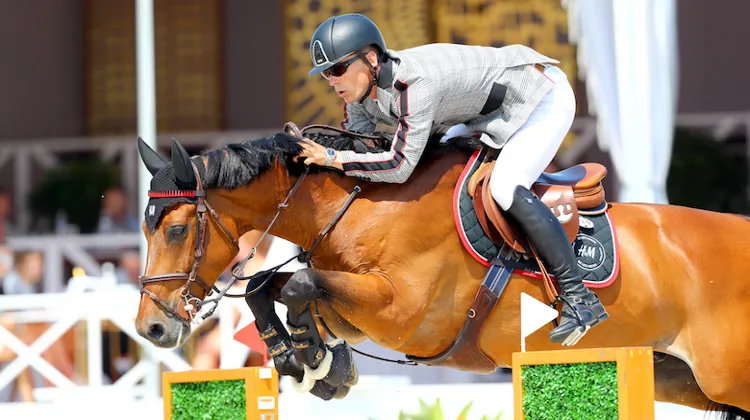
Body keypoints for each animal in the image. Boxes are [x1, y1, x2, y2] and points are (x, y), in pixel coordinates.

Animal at [133, 126, 750, 419]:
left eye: (177, 230)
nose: (151, 329)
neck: (358, 202)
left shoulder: (405, 314)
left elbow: (298, 284)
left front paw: (312, 360)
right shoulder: (360, 309)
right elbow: (272, 288)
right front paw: (310, 361)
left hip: (727, 376)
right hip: (682, 378)